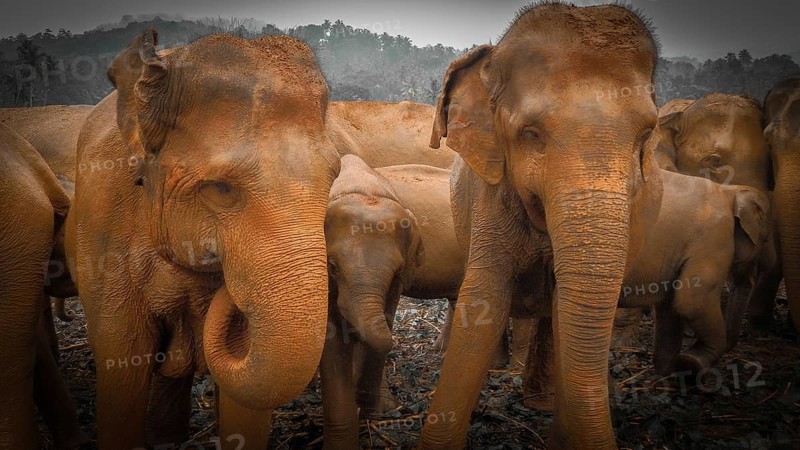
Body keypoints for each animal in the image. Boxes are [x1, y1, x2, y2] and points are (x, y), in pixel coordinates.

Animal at [420, 4, 663, 449]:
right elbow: (484, 299)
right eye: (530, 134)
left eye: (646, 135)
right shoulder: (491, 194)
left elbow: (567, 309)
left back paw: (541, 402)